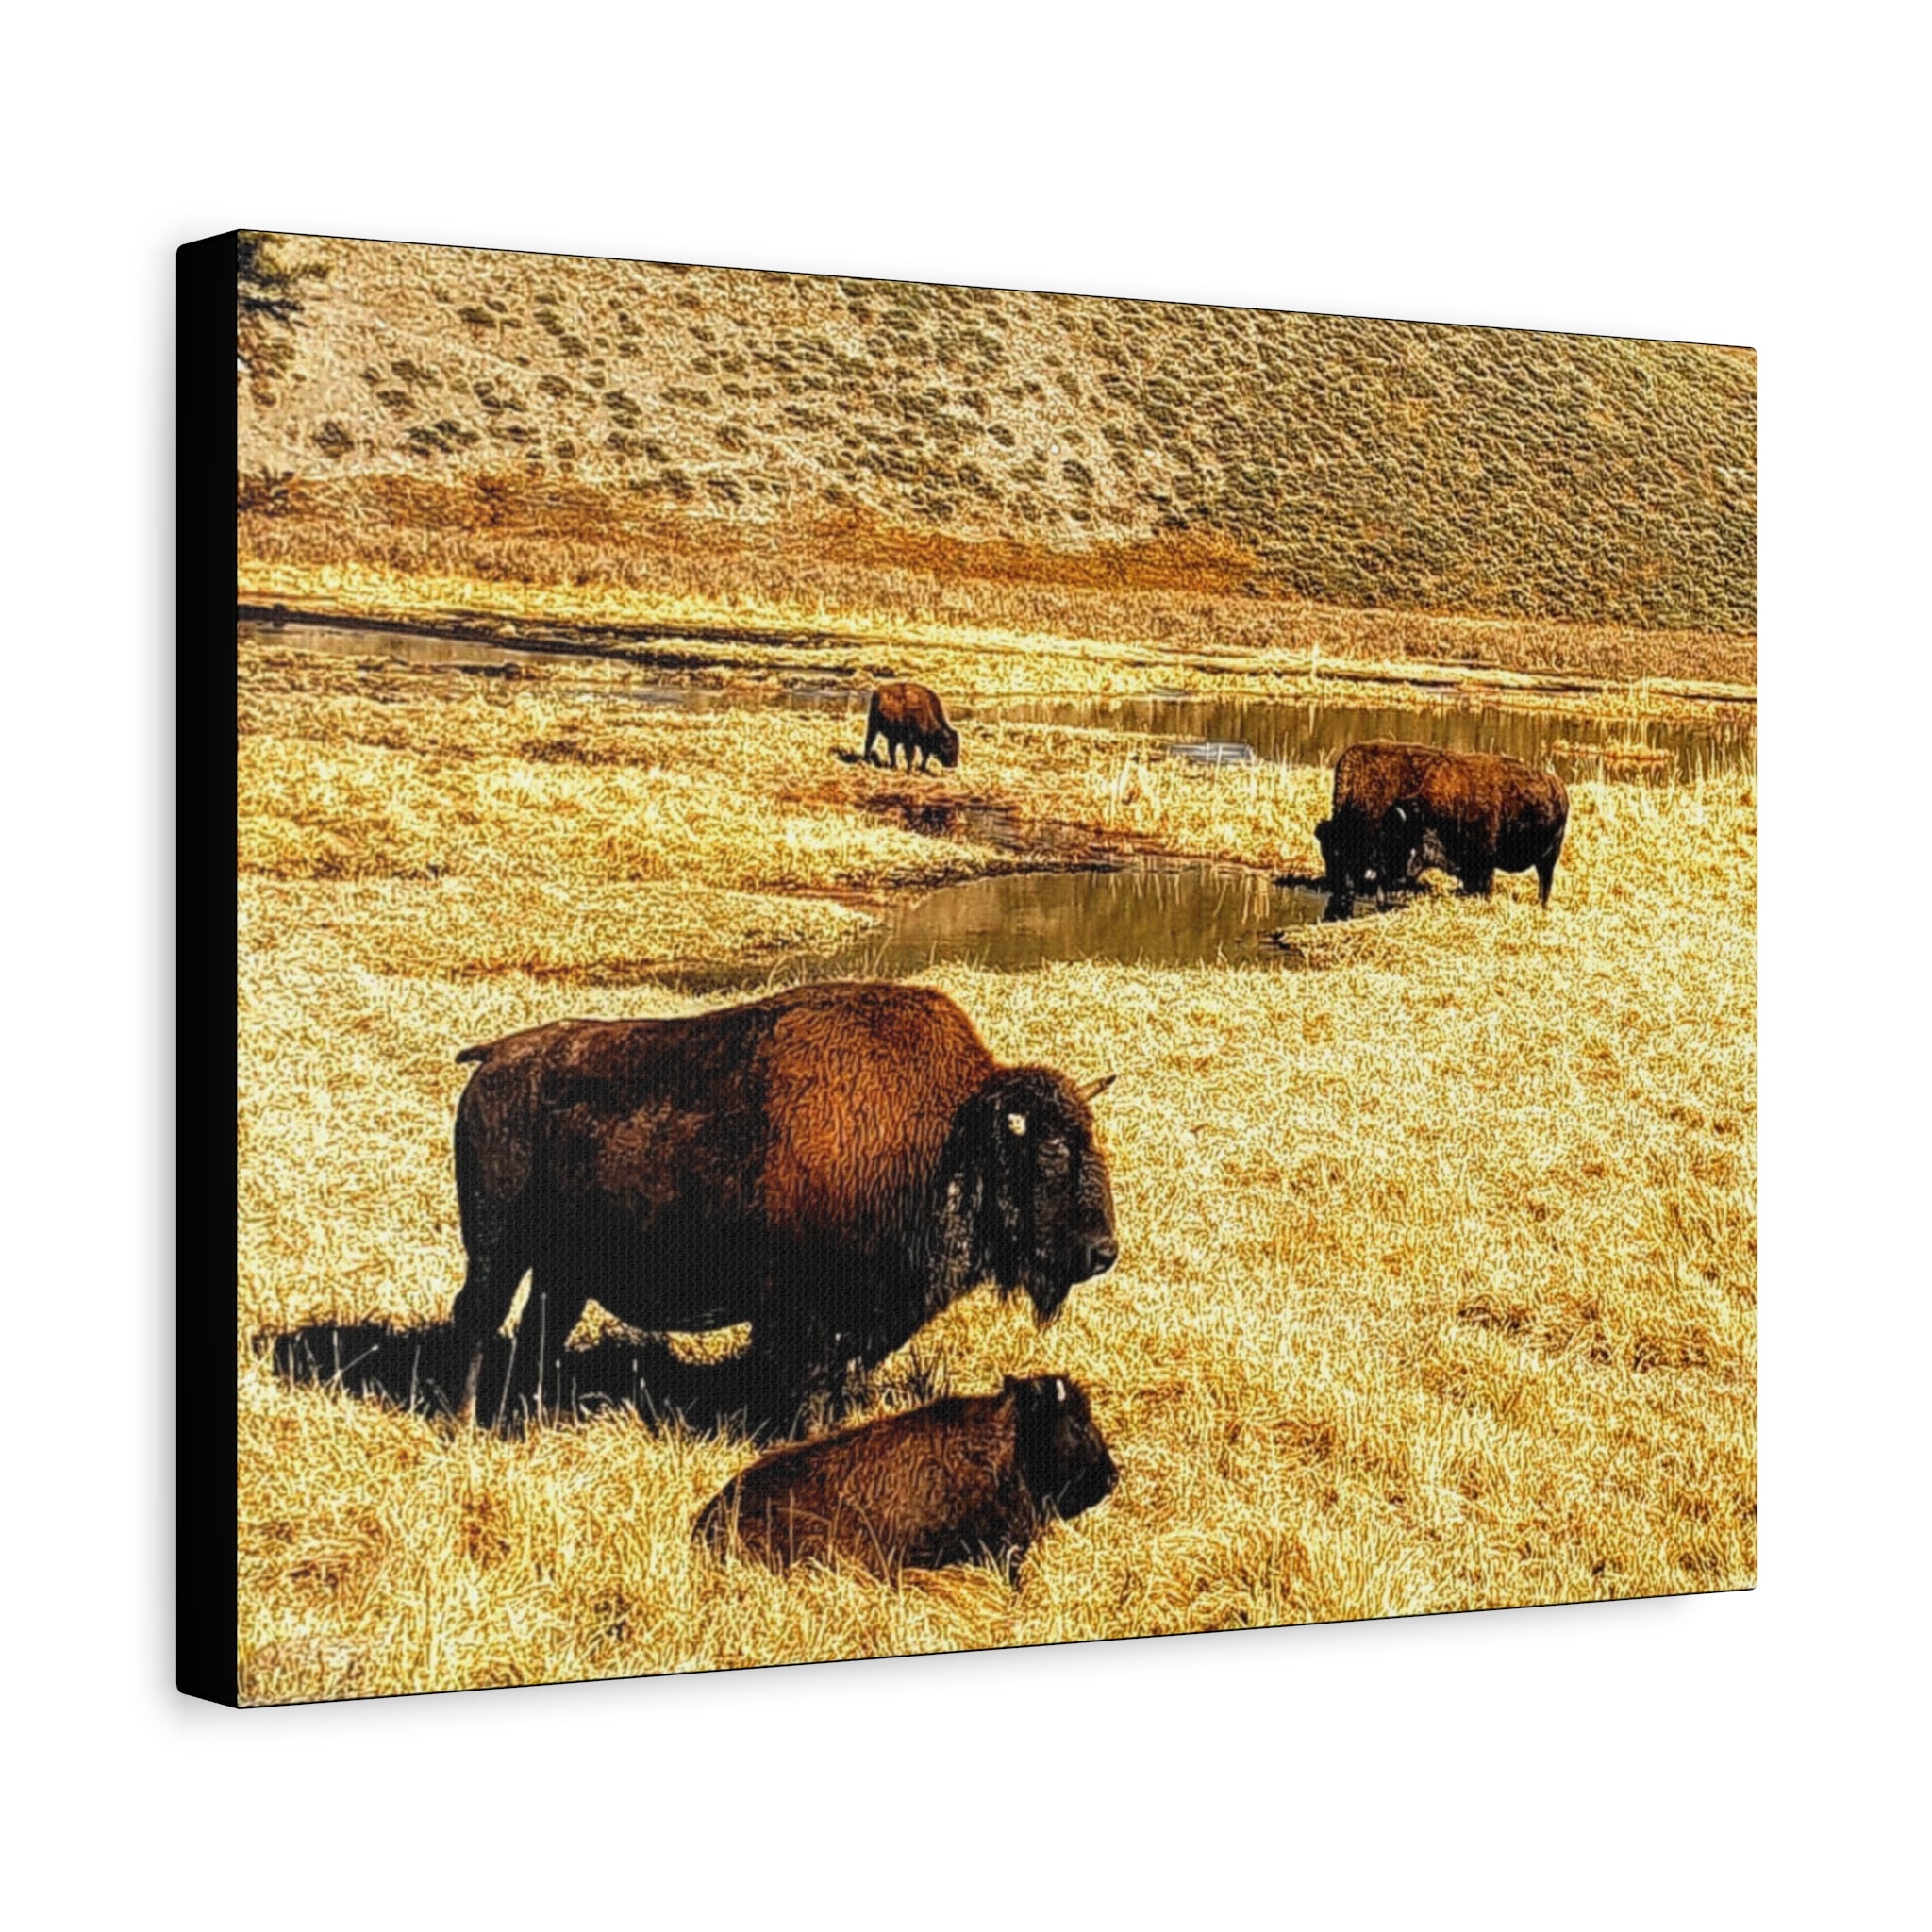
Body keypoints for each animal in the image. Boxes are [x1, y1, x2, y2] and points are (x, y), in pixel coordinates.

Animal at [449, 982, 1118, 1426]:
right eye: (1050, 1152)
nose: (1102, 1251)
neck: (949, 1133)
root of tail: (495, 1057)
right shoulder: (803, 1315)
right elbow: (809, 1383)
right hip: (495, 1248)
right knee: (478, 1319)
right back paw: (467, 1423)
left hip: (562, 1270)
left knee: (538, 1331)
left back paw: (531, 1416)